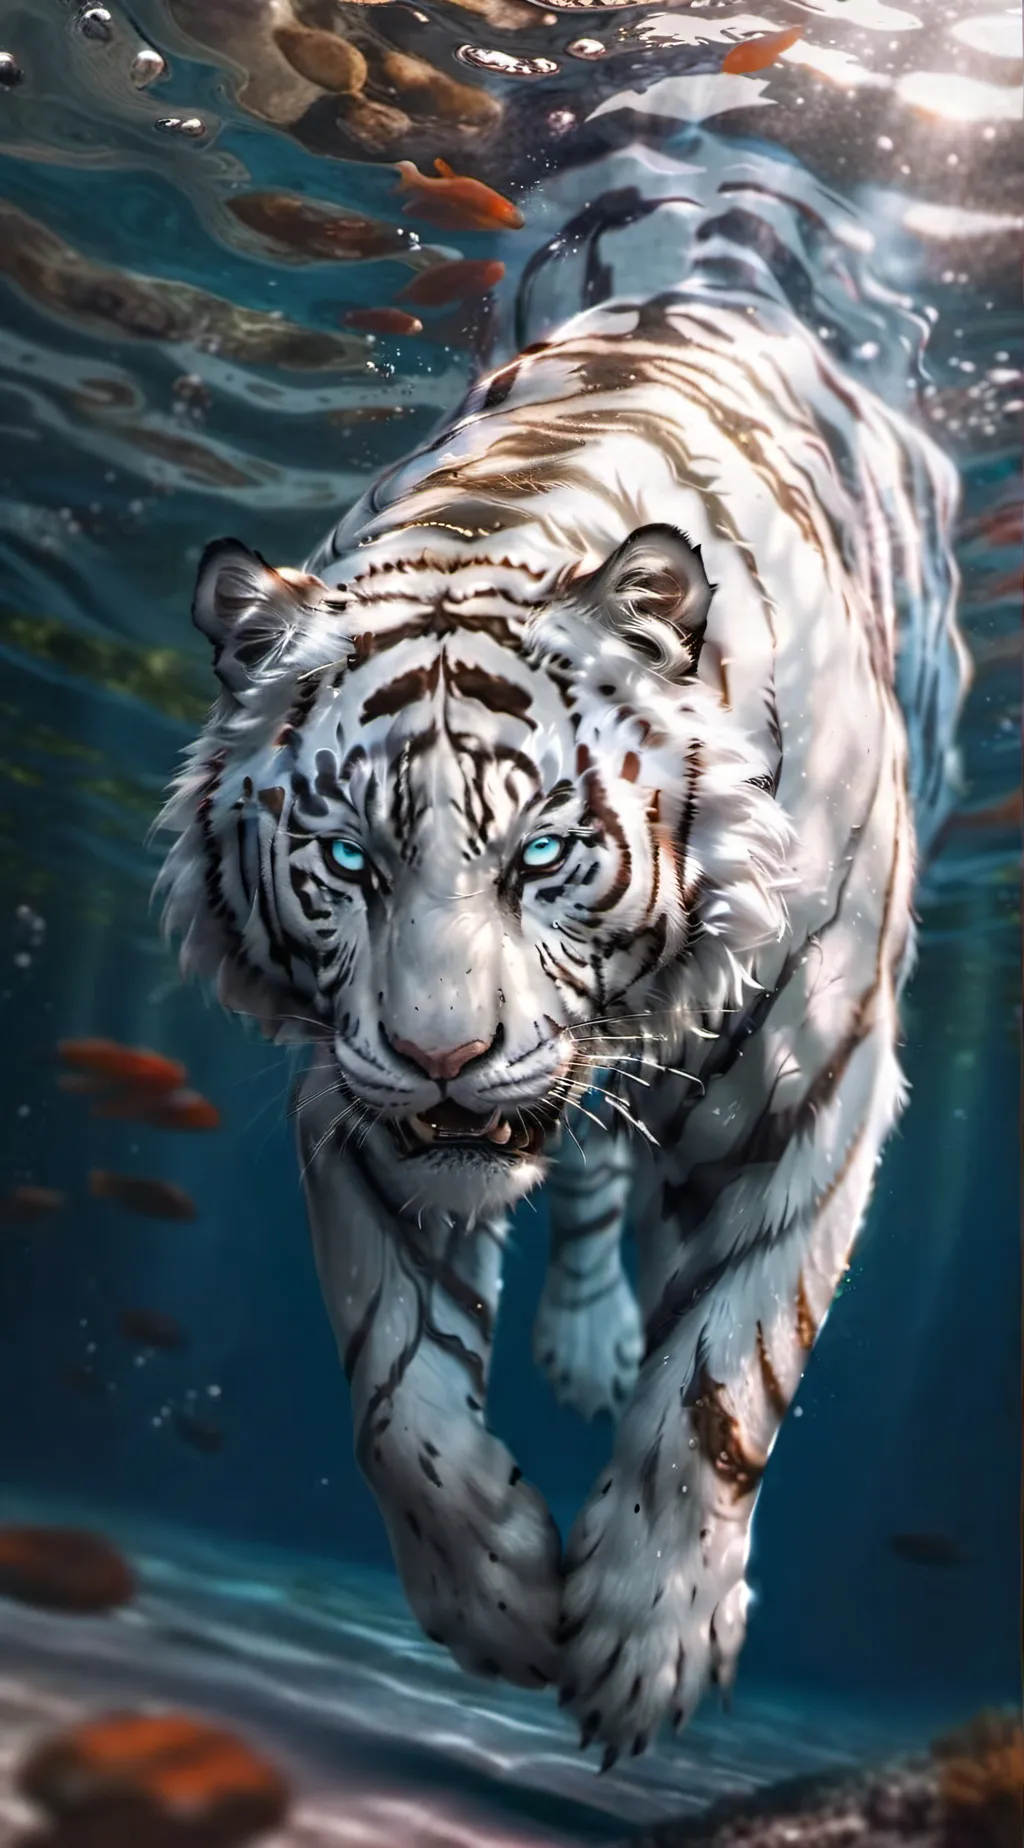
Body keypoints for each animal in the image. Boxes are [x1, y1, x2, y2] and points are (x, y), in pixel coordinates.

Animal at [156, 125, 969, 1765]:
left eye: (540, 854)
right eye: (348, 860)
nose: (443, 1058)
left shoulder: (825, 1090)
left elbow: (728, 1374)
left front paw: (650, 1638)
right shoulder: (350, 1107)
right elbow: (394, 1385)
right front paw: (490, 1596)